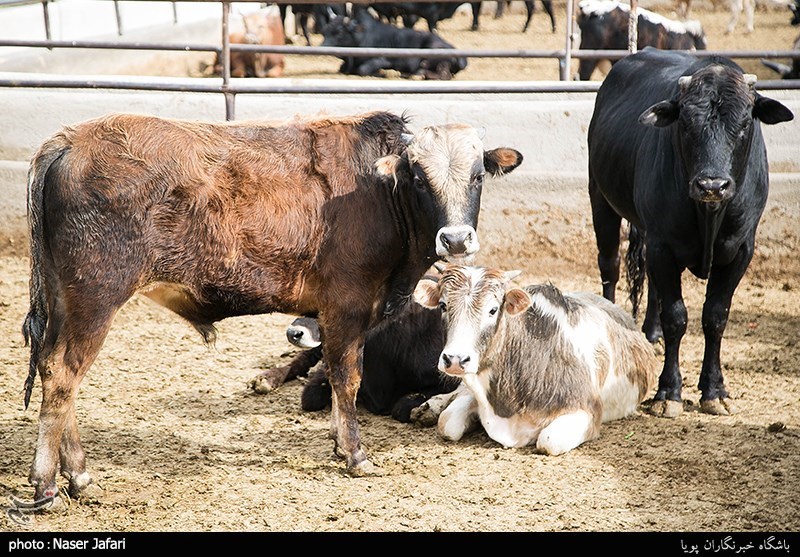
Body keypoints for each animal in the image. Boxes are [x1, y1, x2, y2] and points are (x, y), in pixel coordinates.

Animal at [20, 108, 524, 500]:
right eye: (419, 178)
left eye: (478, 175)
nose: (455, 239)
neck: (380, 194)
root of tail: (69, 140)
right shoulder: (347, 306)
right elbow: (347, 378)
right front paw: (355, 453)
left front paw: (340, 443)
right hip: (95, 299)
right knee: (63, 375)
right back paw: (51, 481)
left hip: (65, 302)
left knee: (53, 371)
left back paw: (77, 475)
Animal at [320, 7, 468, 80]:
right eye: (325, 30)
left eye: (339, 32)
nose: (322, 47)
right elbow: (342, 68)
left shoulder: (381, 59)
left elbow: (364, 69)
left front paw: (385, 73)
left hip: (432, 54)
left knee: (443, 75)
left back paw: (413, 75)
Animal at [412, 266, 656, 456]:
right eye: (443, 305)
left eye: (493, 310)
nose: (455, 359)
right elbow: (447, 422)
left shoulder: (588, 410)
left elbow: (548, 441)